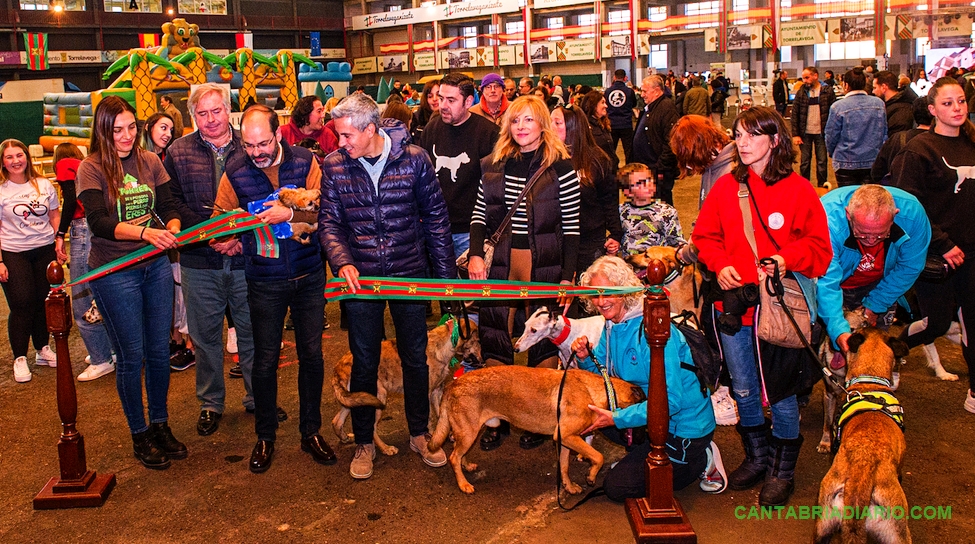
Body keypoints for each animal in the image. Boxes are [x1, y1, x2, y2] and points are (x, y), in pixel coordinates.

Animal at [334, 318, 482, 454]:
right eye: (478, 341)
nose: (482, 361)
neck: (442, 345)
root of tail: (339, 366)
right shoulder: (426, 393)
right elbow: (429, 418)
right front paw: (429, 438)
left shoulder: (437, 391)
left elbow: (442, 415)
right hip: (378, 398)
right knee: (371, 428)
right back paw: (386, 448)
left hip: (355, 400)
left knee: (336, 421)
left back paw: (345, 438)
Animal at [428, 364, 648, 496]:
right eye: (643, 423)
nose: (641, 441)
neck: (598, 390)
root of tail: (453, 384)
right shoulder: (567, 436)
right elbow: (599, 456)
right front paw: (592, 476)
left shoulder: (566, 440)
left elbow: (565, 466)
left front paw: (568, 486)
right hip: (469, 432)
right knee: (453, 456)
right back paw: (463, 484)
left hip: (470, 431)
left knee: (458, 451)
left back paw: (466, 466)